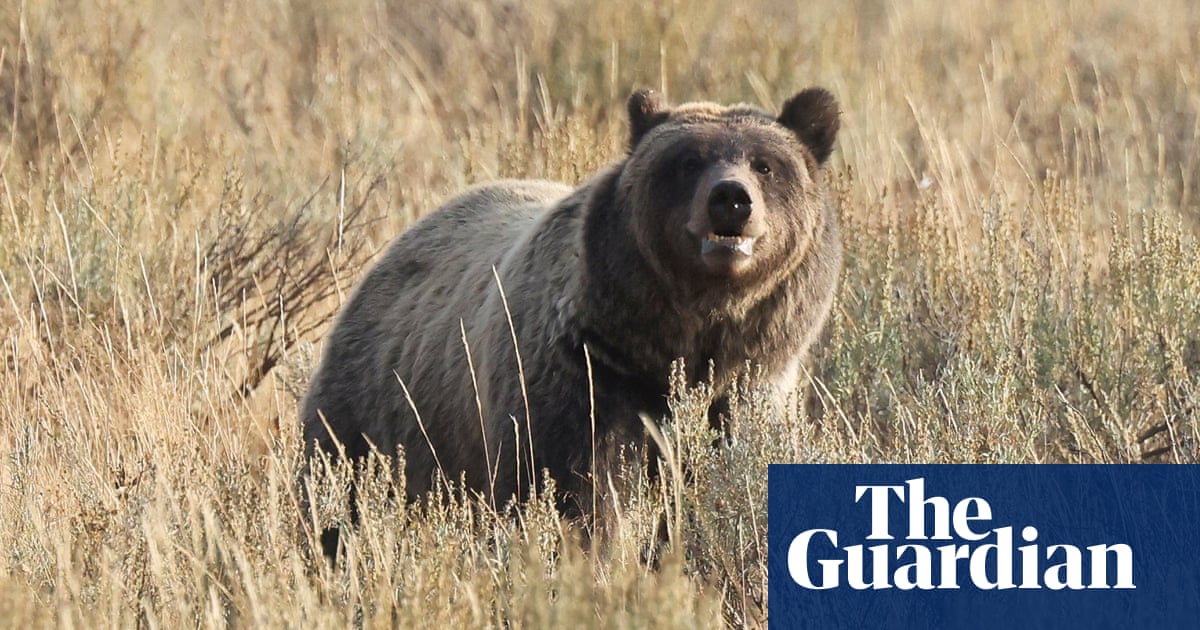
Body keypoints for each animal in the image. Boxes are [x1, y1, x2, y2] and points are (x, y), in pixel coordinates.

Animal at [301, 87, 842, 530]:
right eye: (689, 161)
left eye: (764, 164)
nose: (730, 197)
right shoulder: (582, 377)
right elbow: (575, 493)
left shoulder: (748, 386)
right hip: (374, 415)